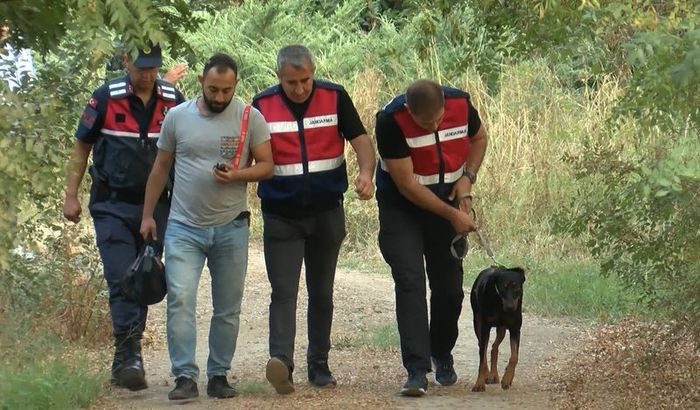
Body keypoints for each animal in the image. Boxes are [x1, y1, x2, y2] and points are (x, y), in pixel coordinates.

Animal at [470, 264, 524, 392]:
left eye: (516, 287)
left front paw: (507, 379)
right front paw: (479, 383)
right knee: (482, 348)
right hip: (477, 321)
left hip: (502, 328)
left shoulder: (515, 329)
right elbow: (482, 359)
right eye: (503, 288)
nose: (510, 307)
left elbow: (514, 356)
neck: (500, 304)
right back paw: (487, 375)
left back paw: (494, 375)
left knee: (494, 347)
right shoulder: (485, 327)